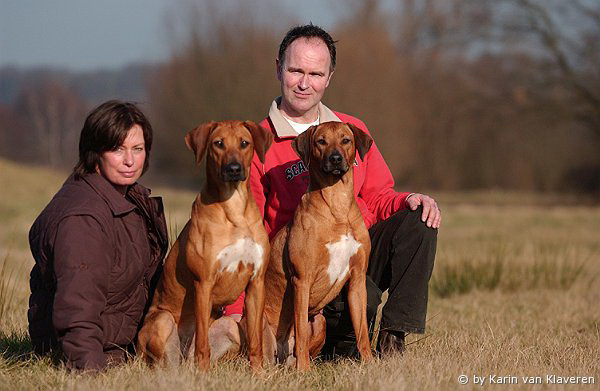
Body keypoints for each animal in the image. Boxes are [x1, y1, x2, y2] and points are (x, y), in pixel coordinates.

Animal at [136, 121, 272, 372]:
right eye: (218, 144)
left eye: (244, 143)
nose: (233, 168)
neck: (233, 209)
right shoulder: (204, 282)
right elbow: (202, 344)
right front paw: (204, 374)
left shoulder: (256, 282)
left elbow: (256, 341)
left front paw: (258, 373)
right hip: (162, 321)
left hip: (229, 326)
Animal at [260, 120, 372, 370]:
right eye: (321, 141)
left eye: (345, 140)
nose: (335, 158)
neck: (337, 204)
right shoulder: (302, 279)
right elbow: (301, 331)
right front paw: (303, 371)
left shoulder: (357, 280)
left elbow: (362, 332)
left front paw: (370, 363)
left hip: (320, 321)